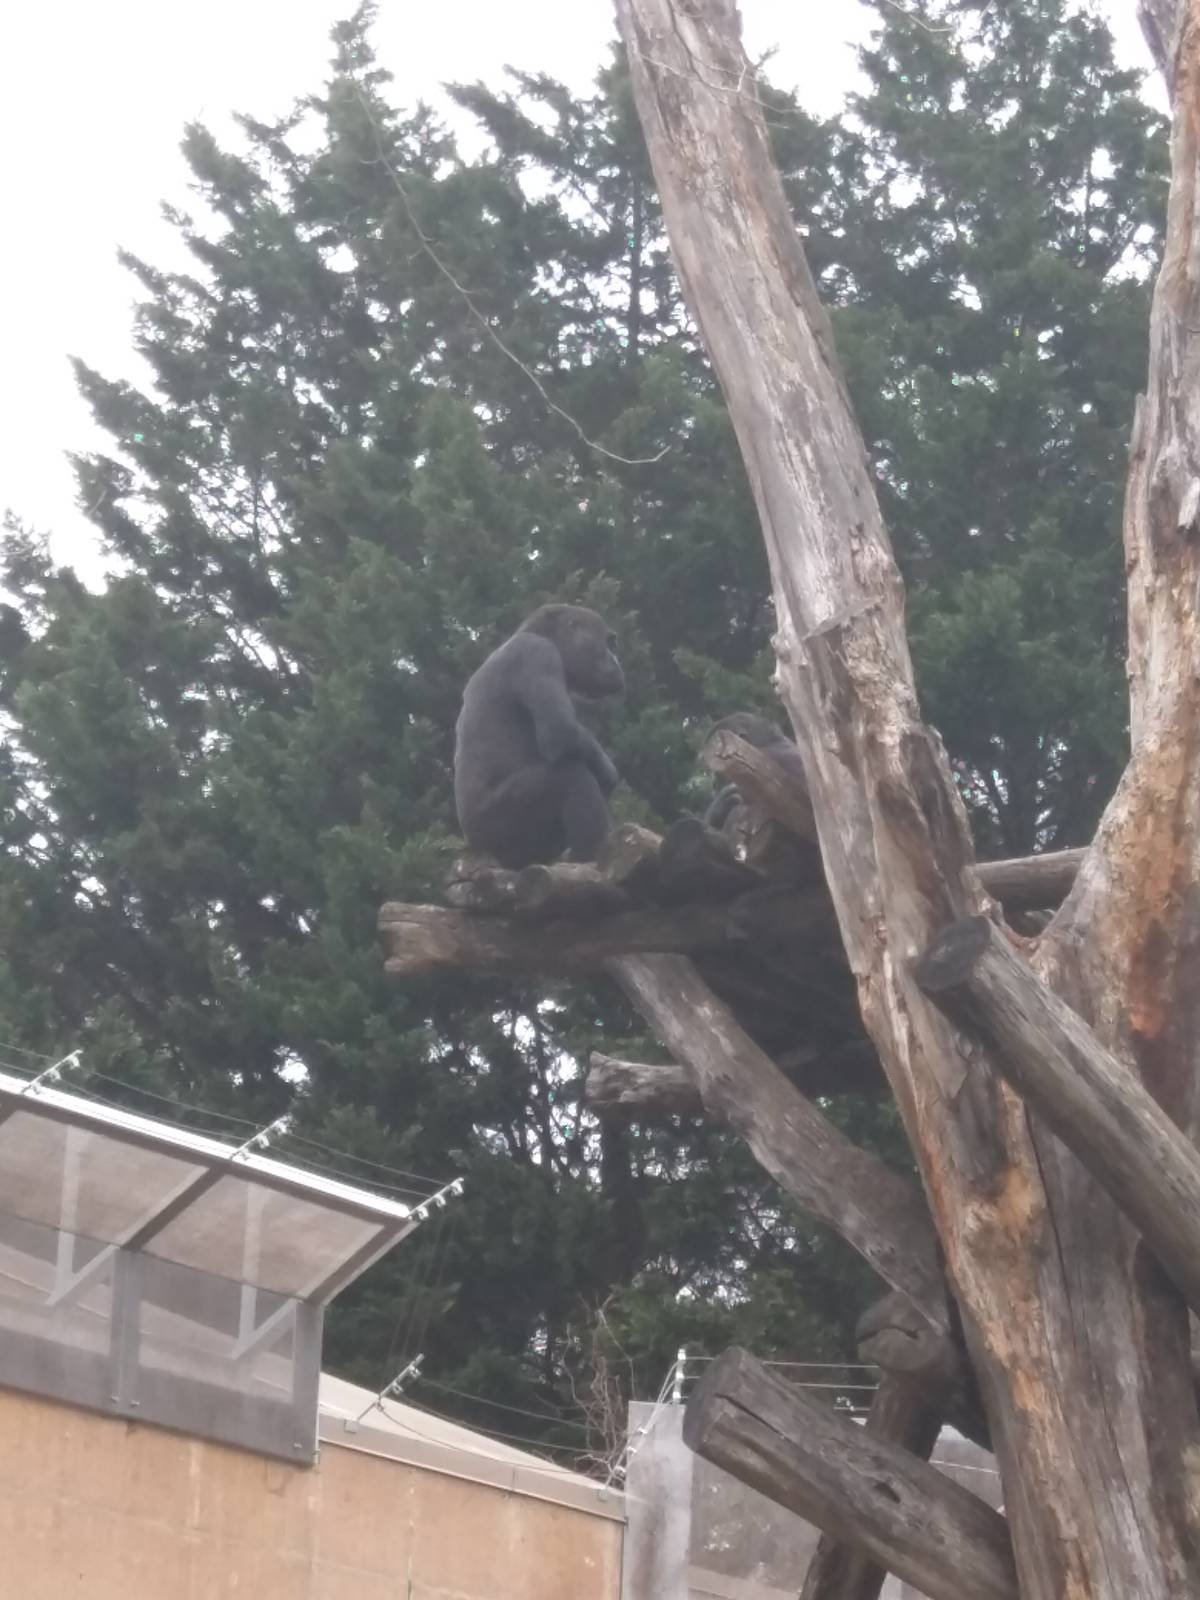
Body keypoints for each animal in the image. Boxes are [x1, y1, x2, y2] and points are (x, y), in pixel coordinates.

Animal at [453, 604, 625, 869]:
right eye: (610, 643)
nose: (616, 659)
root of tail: (474, 846)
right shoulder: (538, 655)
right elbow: (561, 732)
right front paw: (608, 770)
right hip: (497, 827)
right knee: (570, 775)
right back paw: (588, 856)